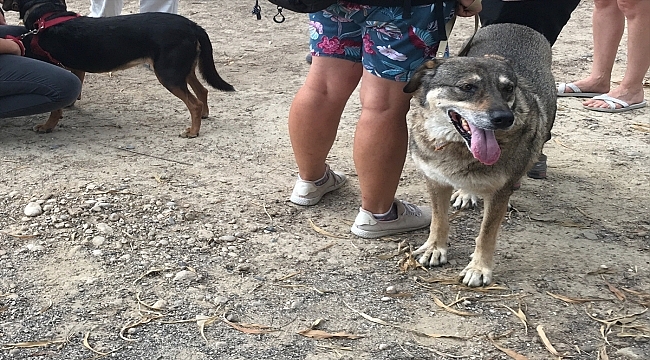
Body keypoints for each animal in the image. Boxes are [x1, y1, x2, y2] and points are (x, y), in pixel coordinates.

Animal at [1, 0, 234, 137]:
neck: (47, 16)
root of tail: (192, 25)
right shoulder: (77, 68)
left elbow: (55, 109)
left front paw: (48, 126)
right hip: (182, 70)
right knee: (202, 90)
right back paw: (204, 116)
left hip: (169, 74)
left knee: (194, 103)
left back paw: (193, 131)